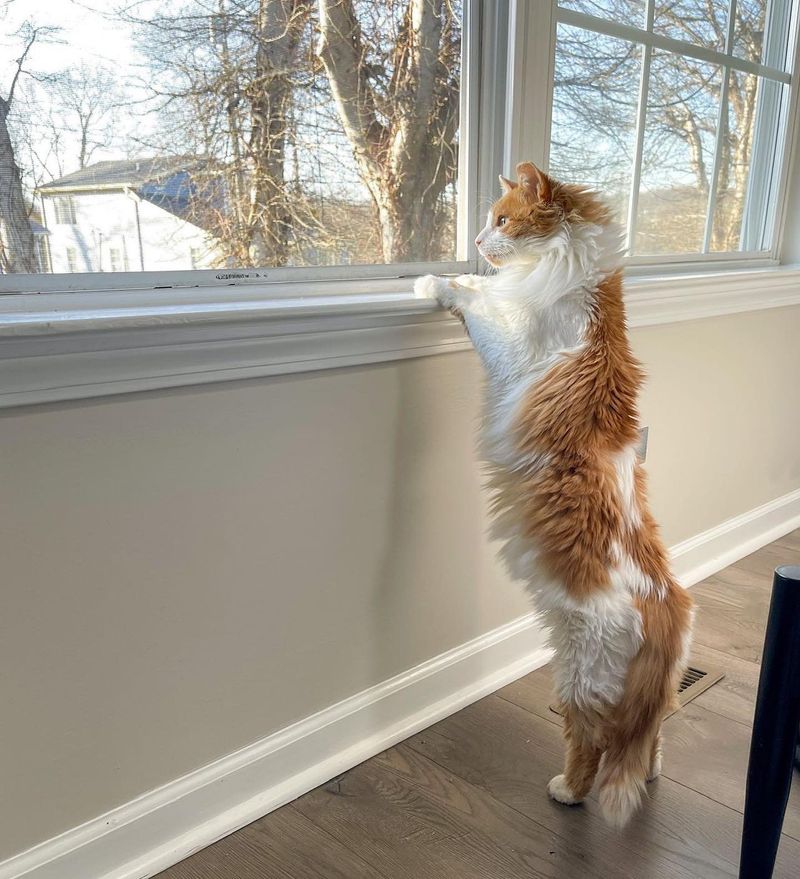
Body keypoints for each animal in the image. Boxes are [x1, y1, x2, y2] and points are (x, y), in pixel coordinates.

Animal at [418, 162, 692, 828]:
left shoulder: (510, 344)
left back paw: (566, 791)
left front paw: (434, 279)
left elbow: (473, 299)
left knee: (592, 744)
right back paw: (650, 773)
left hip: (576, 669)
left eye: (501, 219)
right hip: (646, 696)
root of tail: (666, 604)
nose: (478, 241)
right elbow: (483, 291)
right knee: (651, 738)